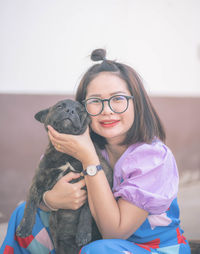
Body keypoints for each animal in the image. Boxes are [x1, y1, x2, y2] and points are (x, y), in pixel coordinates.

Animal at [16, 99, 112, 254]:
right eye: (59, 106)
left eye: (80, 110)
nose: (70, 111)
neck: (65, 154)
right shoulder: (37, 182)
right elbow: (30, 204)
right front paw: (24, 226)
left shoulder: (98, 183)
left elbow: (87, 209)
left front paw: (83, 232)